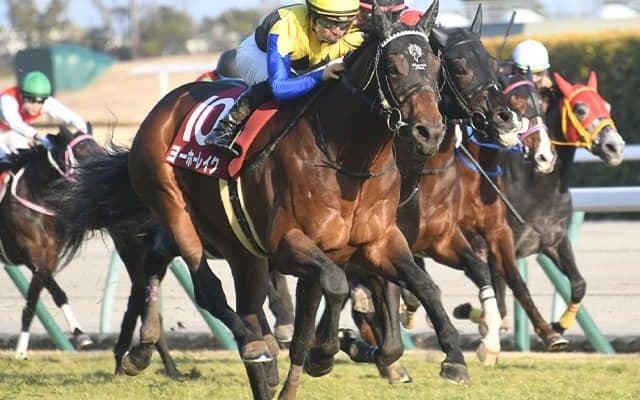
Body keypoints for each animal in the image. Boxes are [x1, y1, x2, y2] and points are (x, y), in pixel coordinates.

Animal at [0, 125, 100, 359]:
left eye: (98, 147)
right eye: (81, 150)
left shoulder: (48, 258)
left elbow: (30, 305)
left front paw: (20, 353)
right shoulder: (32, 255)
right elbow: (58, 293)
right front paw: (80, 334)